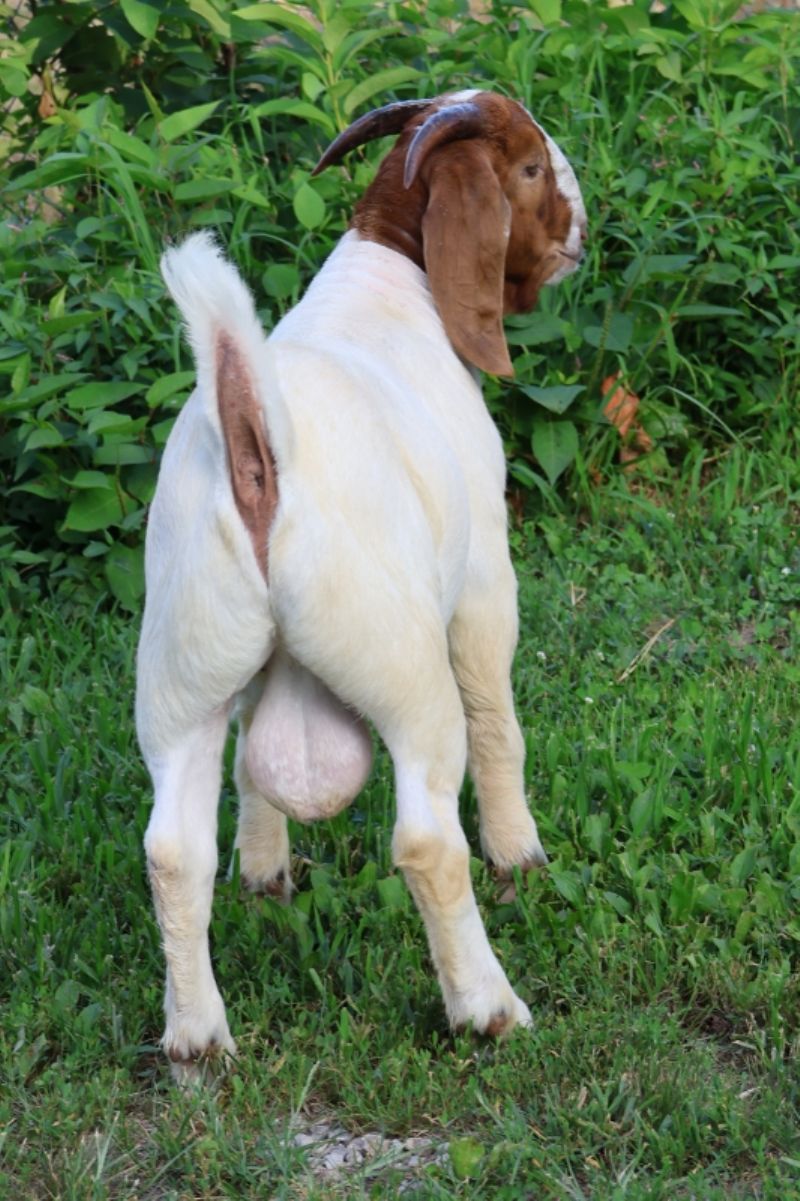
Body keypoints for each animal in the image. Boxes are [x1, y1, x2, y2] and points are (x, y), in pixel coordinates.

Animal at [136, 89, 587, 1083]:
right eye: (531, 168)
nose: (582, 229)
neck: (390, 281)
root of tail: (256, 443)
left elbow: (253, 769)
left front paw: (263, 870)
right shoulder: (484, 579)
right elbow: (500, 720)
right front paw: (521, 853)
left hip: (183, 668)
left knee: (172, 850)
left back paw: (198, 1037)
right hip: (404, 666)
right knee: (424, 837)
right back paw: (488, 1008)